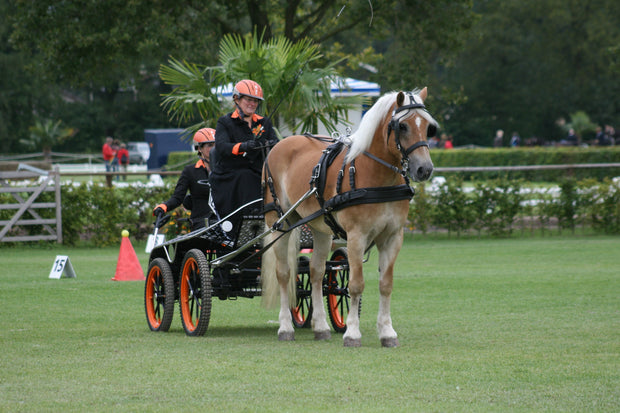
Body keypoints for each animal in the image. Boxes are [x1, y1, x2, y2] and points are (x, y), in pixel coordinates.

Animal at [260, 88, 436, 346]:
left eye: (428, 126)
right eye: (402, 126)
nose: (425, 169)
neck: (375, 176)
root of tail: (281, 143)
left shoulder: (393, 237)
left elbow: (386, 284)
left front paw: (387, 332)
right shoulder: (356, 236)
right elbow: (355, 284)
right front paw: (352, 332)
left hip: (321, 228)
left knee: (316, 272)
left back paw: (321, 327)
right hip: (280, 223)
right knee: (284, 273)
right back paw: (285, 328)